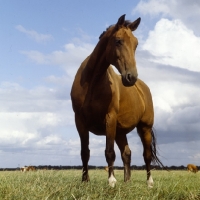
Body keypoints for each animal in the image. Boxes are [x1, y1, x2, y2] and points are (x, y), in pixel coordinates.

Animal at [70, 14, 162, 188]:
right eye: (118, 41)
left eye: (136, 44)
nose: (131, 77)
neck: (92, 83)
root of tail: (143, 87)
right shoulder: (80, 121)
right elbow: (85, 152)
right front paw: (85, 181)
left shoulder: (110, 119)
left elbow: (109, 151)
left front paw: (111, 181)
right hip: (120, 132)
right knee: (127, 153)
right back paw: (127, 181)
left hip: (144, 128)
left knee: (146, 155)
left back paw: (150, 183)